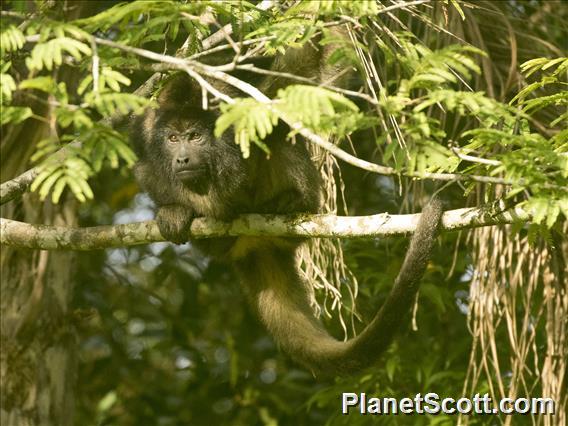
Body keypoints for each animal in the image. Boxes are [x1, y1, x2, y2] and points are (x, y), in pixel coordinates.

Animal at [133, 68, 444, 374]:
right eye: (173, 139)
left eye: (195, 136)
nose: (182, 159)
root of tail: (255, 244)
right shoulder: (147, 130)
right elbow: (146, 167)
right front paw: (176, 209)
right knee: (147, 170)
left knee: (279, 134)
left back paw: (292, 202)